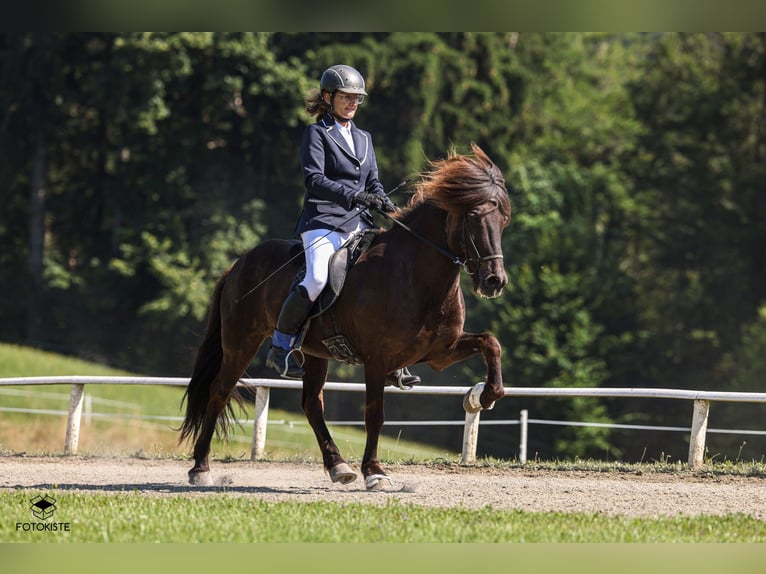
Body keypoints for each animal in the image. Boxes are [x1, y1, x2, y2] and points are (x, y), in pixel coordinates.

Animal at [179, 143, 511, 490]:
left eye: (504, 219)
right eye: (474, 217)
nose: (494, 282)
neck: (415, 275)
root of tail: (238, 264)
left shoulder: (439, 353)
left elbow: (491, 342)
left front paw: (484, 396)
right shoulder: (377, 359)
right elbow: (375, 414)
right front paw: (374, 471)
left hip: (314, 353)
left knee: (312, 405)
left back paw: (338, 466)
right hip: (241, 343)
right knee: (219, 392)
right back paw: (200, 468)